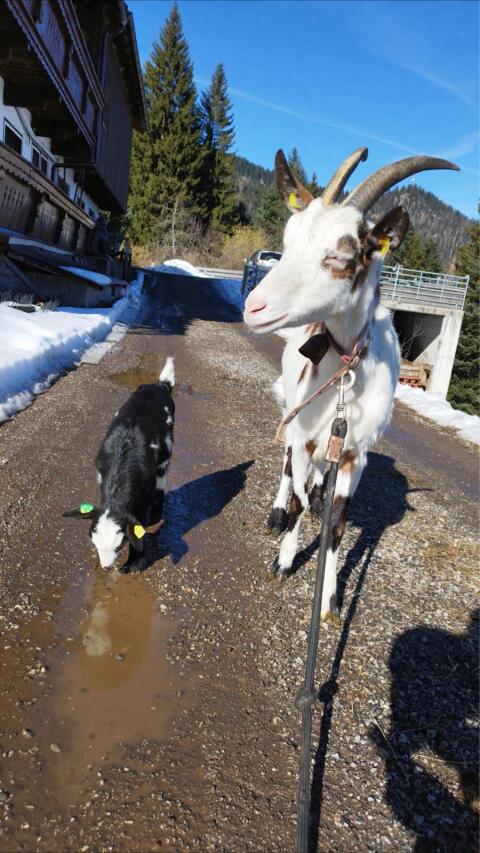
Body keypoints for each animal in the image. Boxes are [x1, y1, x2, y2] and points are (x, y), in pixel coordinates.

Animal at [63, 356, 175, 571]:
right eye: (94, 544)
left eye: (119, 545)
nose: (106, 567)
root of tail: (159, 385)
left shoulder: (142, 500)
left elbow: (139, 531)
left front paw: (134, 562)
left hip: (165, 458)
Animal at [244, 148, 458, 622]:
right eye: (287, 242)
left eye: (343, 257)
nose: (254, 307)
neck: (343, 369)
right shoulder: (305, 431)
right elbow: (298, 493)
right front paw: (285, 558)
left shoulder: (354, 453)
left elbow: (338, 523)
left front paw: (329, 599)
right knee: (288, 465)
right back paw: (278, 512)